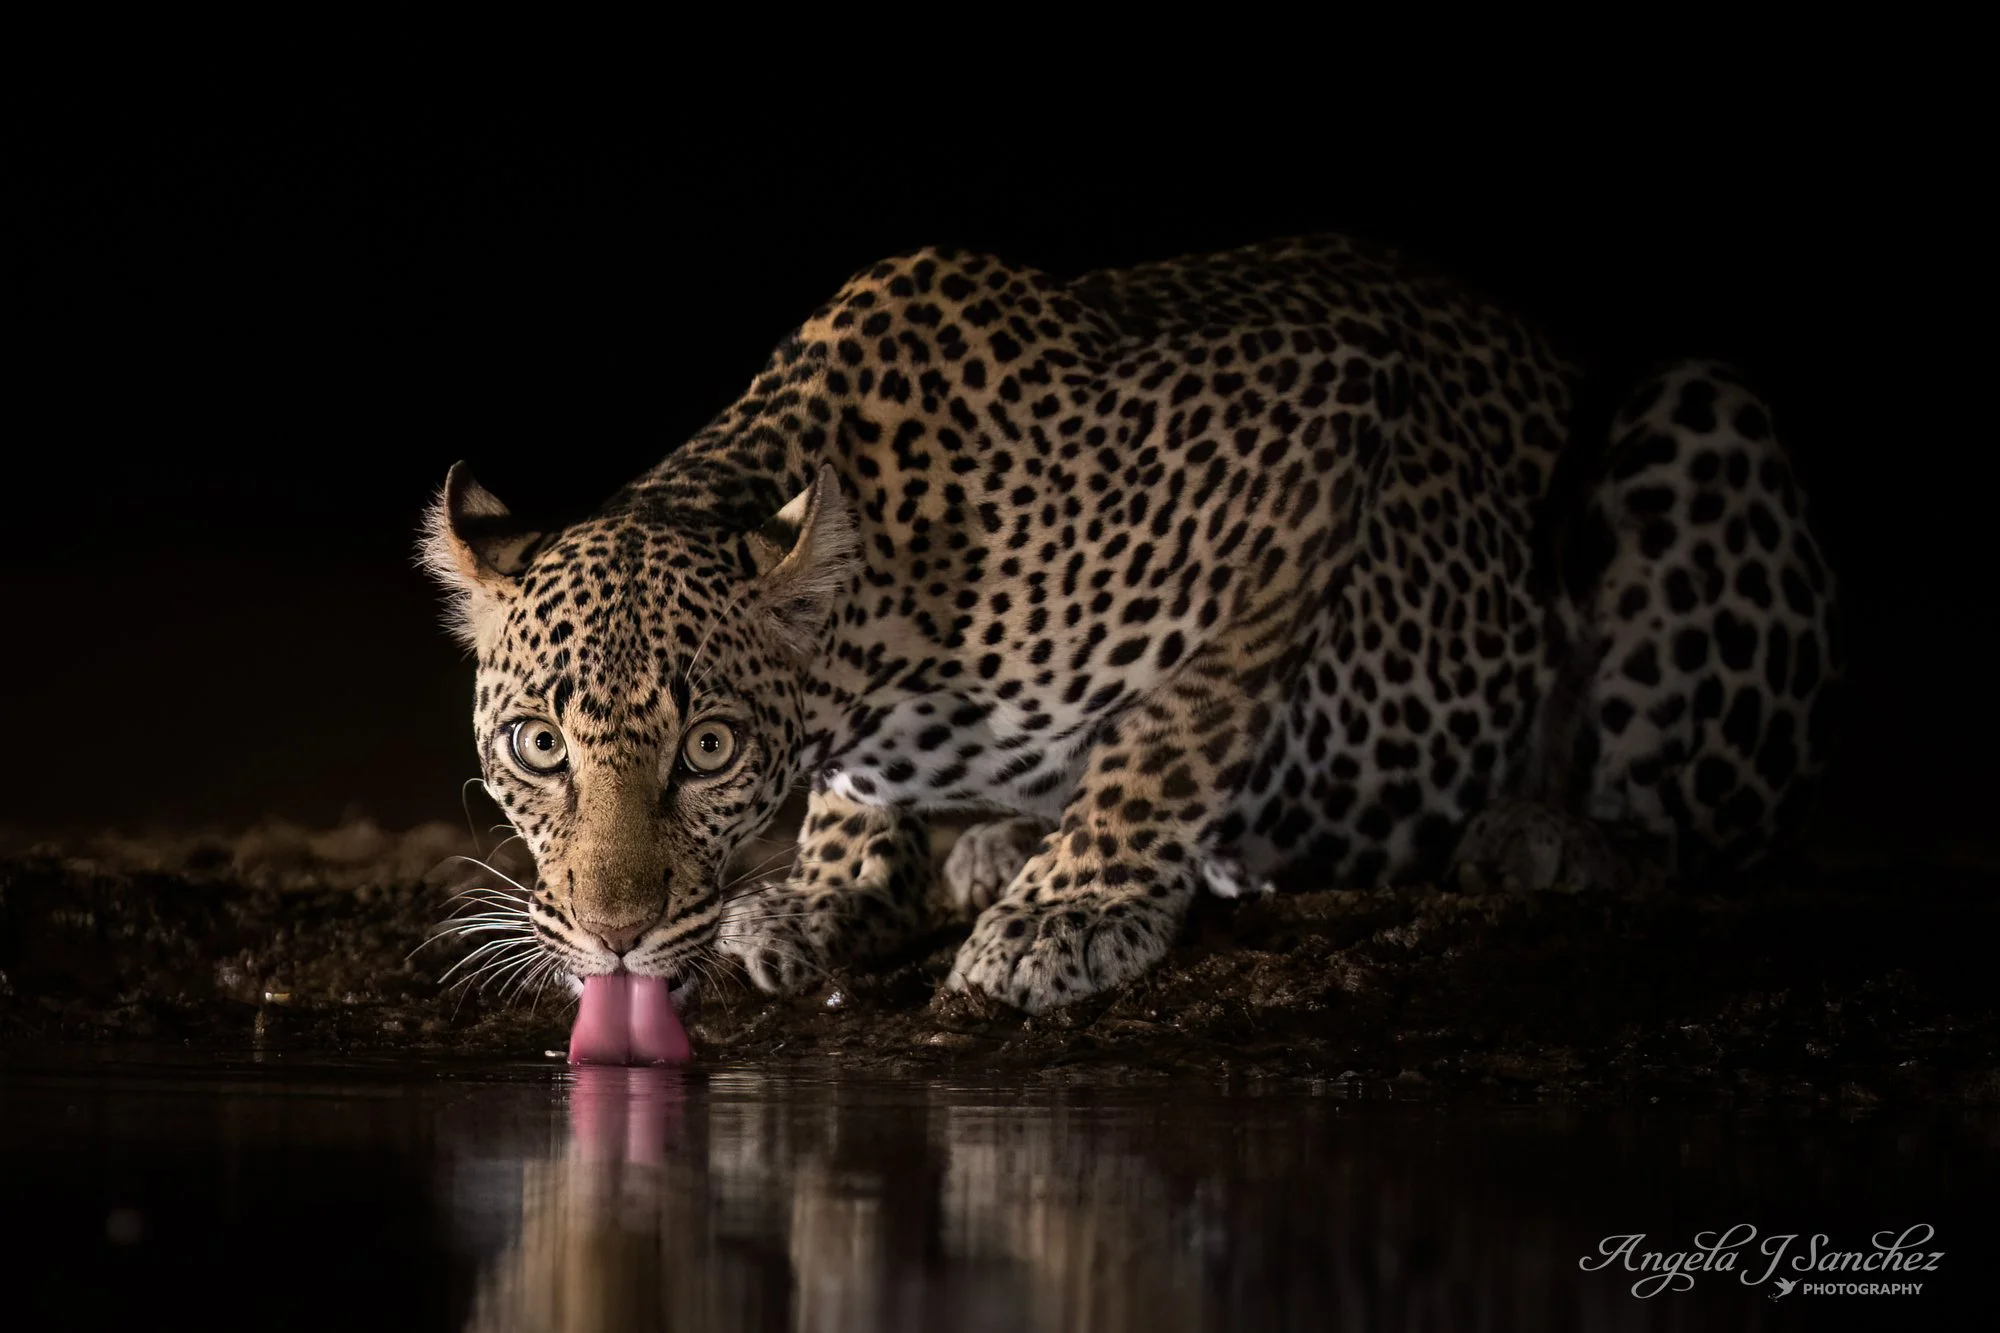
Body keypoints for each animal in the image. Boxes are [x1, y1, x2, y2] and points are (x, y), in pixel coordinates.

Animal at [421, 233, 1839, 1016]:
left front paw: (1066, 916)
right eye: (538, 746)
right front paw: (833, 891)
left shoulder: (1310, 436)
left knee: (1708, 837)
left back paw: (1550, 835)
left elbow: (1174, 736)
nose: (612, 938)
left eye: (707, 751)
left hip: (1693, 412)